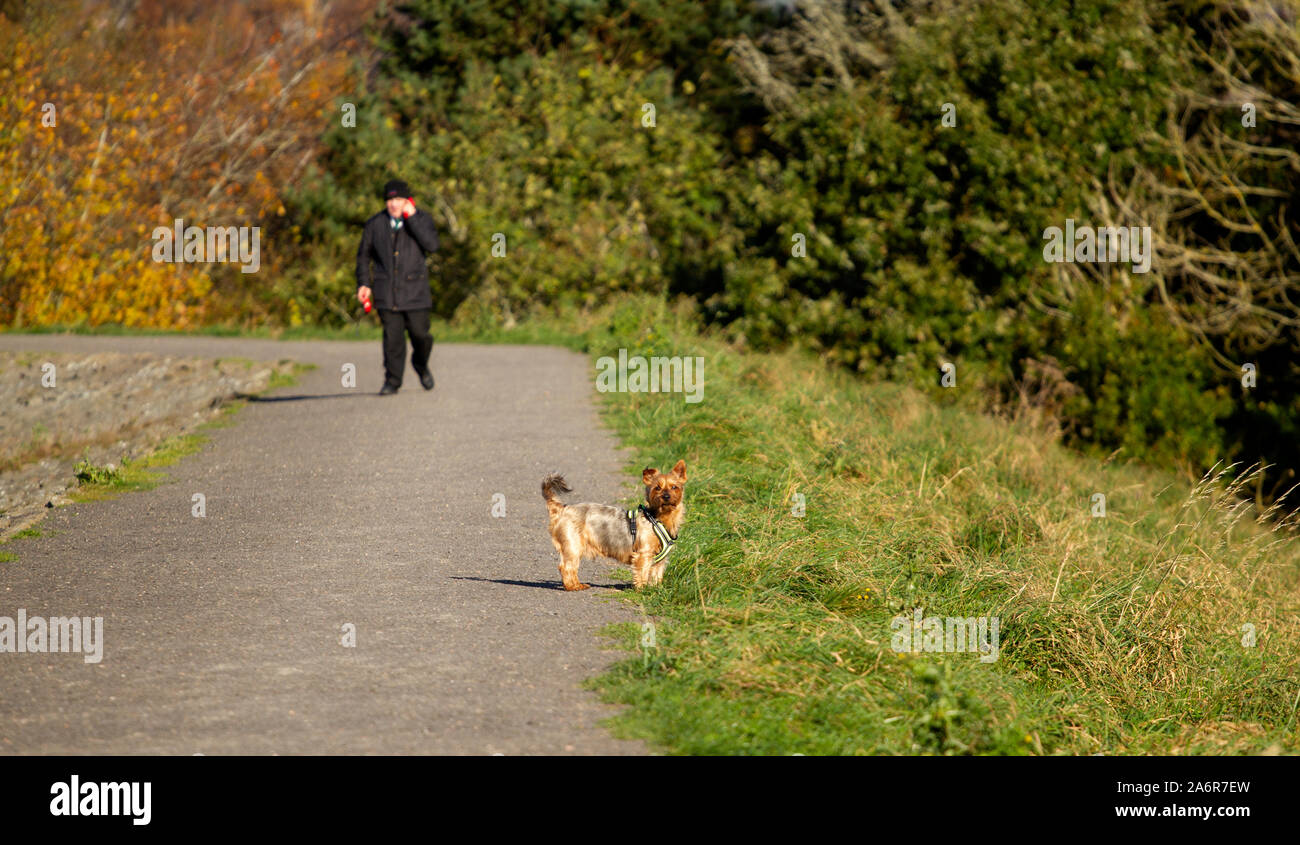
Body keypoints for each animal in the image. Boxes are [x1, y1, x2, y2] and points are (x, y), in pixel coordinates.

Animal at [540, 457, 686, 590]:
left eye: (674, 487)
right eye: (657, 488)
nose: (666, 496)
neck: (658, 518)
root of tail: (562, 508)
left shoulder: (660, 560)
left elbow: (656, 575)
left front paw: (655, 589)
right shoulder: (643, 554)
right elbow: (642, 572)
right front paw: (642, 590)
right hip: (573, 544)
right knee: (566, 567)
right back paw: (573, 586)